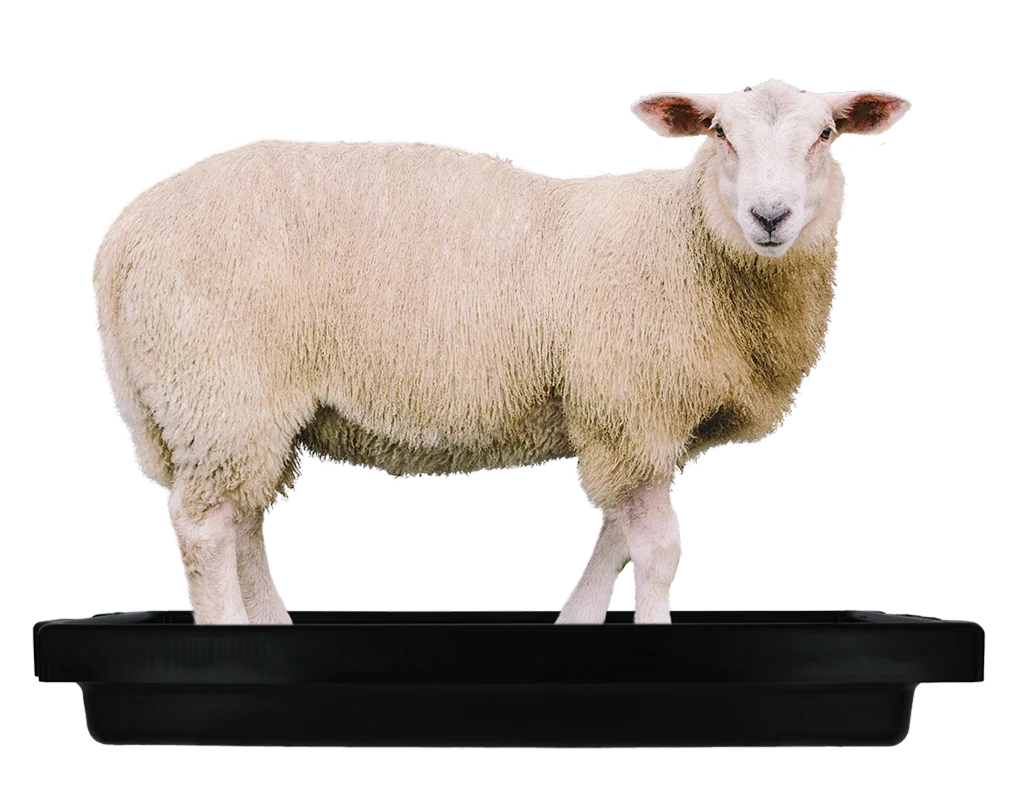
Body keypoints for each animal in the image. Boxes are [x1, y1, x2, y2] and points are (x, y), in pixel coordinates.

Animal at [90, 79, 912, 626]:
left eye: (823, 137)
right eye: (720, 135)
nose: (770, 216)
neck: (687, 243)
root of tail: (124, 234)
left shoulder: (624, 424)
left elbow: (614, 538)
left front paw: (576, 626)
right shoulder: (632, 409)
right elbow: (654, 551)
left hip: (240, 413)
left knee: (244, 524)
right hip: (220, 387)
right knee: (205, 530)